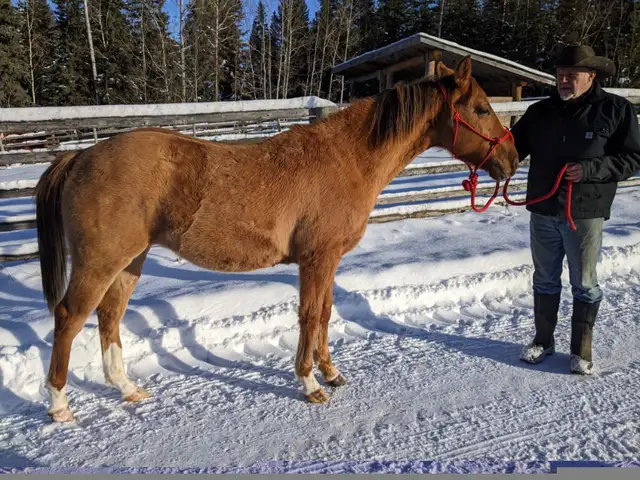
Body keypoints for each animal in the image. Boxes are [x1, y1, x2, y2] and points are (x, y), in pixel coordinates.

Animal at [34, 56, 519, 422]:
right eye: (480, 108)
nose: (513, 159)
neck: (347, 159)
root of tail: (80, 156)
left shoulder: (329, 260)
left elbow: (325, 313)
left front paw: (331, 373)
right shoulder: (316, 259)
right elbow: (308, 316)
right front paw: (310, 384)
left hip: (129, 262)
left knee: (109, 318)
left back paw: (128, 389)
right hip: (101, 262)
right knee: (70, 318)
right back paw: (59, 406)